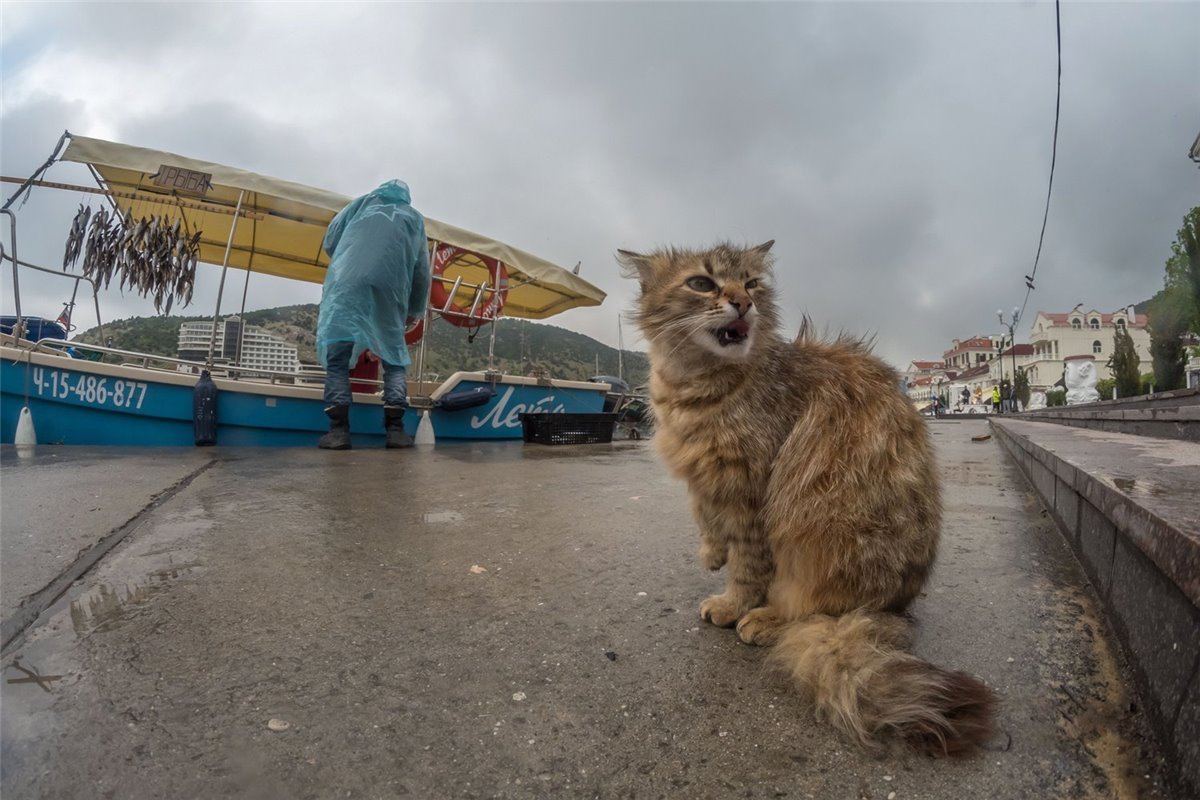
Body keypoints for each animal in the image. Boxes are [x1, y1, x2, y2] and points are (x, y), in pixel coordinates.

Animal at [619, 241, 993, 753]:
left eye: (751, 283)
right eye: (701, 283)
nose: (742, 303)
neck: (691, 388)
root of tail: (894, 608)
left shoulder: (750, 494)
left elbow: (746, 569)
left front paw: (733, 603)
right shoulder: (707, 479)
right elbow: (703, 515)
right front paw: (710, 551)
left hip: (816, 536)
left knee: (811, 609)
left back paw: (766, 619)